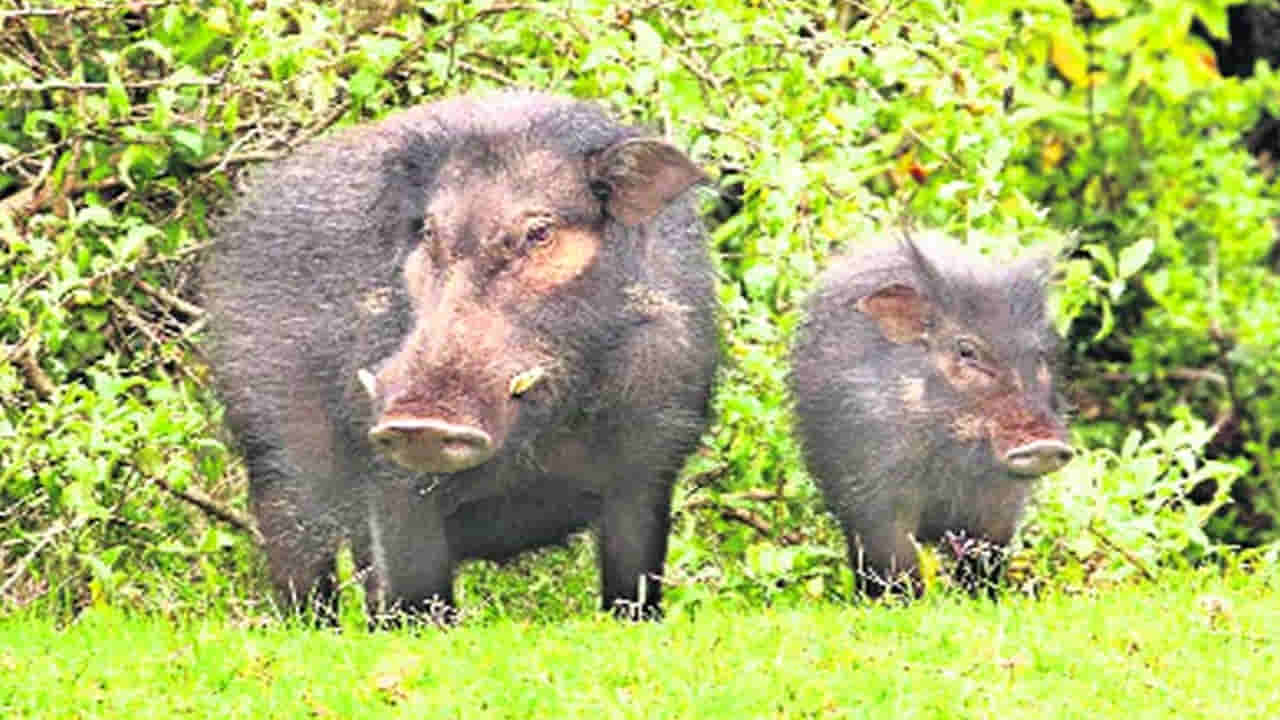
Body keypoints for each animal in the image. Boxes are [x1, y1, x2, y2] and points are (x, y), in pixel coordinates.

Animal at [201, 91, 720, 620]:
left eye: (540, 232)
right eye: (429, 232)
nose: (421, 420)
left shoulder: (650, 471)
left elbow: (634, 591)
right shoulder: (392, 486)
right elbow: (417, 596)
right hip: (270, 465)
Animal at [788, 230, 1073, 595]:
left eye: (1038, 356)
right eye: (966, 350)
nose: (1045, 444)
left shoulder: (1001, 508)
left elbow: (985, 560)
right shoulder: (873, 493)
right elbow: (895, 562)